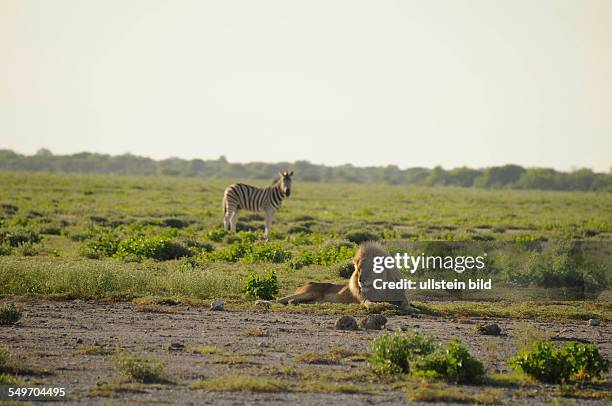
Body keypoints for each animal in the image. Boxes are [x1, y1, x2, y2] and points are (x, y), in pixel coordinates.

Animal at [278, 241, 418, 314]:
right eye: (359, 269)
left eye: (371, 268)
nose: (360, 280)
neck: (380, 288)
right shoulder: (364, 300)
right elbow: (370, 304)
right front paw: (382, 306)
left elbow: (407, 304)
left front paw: (413, 309)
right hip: (310, 292)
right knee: (281, 300)